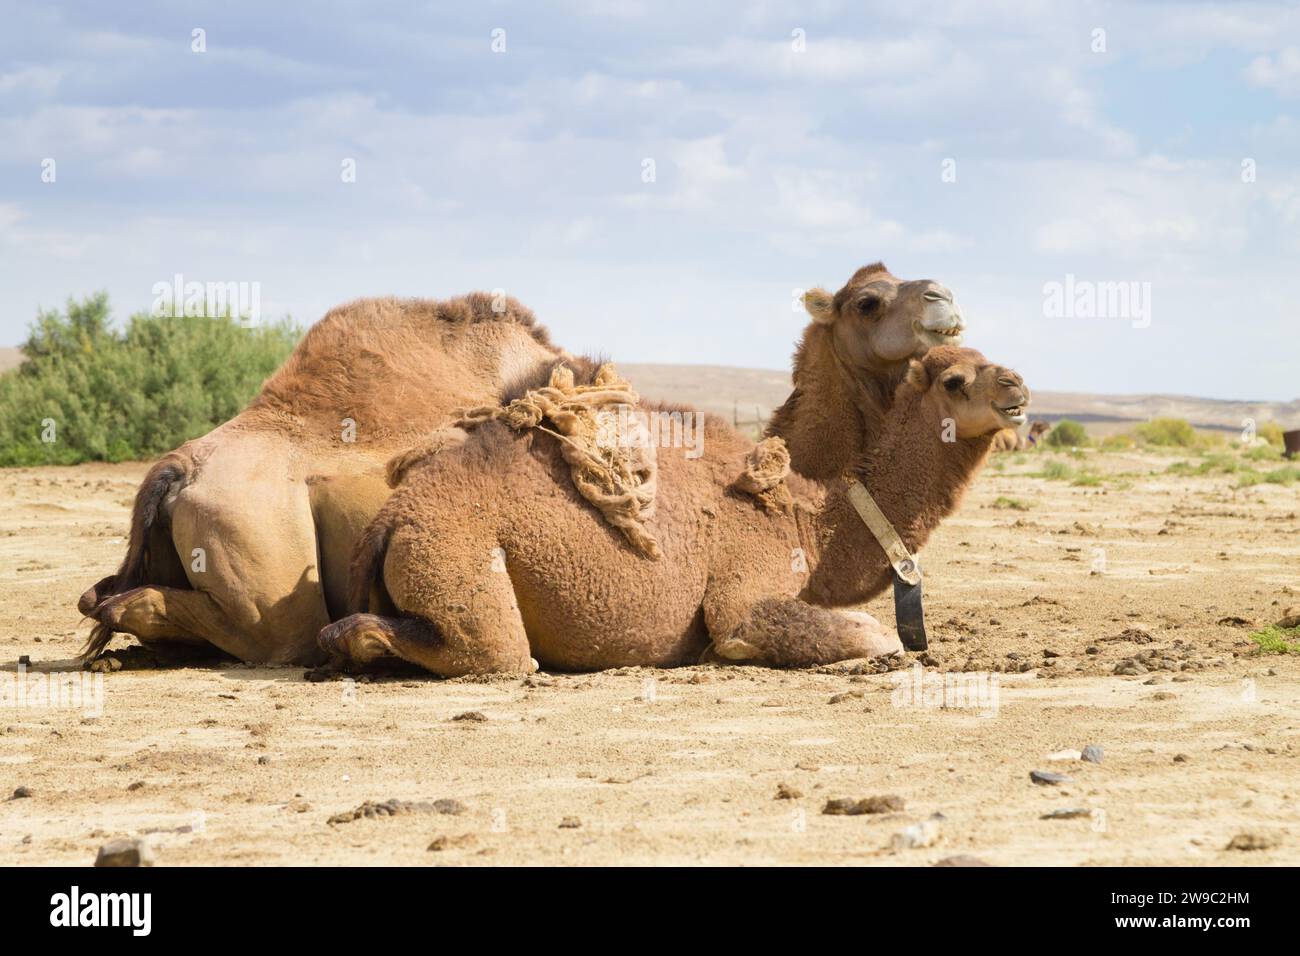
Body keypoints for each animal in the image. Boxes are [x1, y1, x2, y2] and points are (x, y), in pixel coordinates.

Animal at [73, 261, 967, 665]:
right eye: (867, 301)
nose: (945, 302)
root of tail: (175, 471)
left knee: (115, 600)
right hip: (264, 550)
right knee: (267, 634)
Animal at [317, 348, 1024, 676]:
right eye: (955, 380)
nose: (1017, 387)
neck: (810, 521)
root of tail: (388, 520)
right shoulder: (744, 587)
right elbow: (875, 636)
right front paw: (729, 652)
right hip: (459, 562)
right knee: (496, 654)